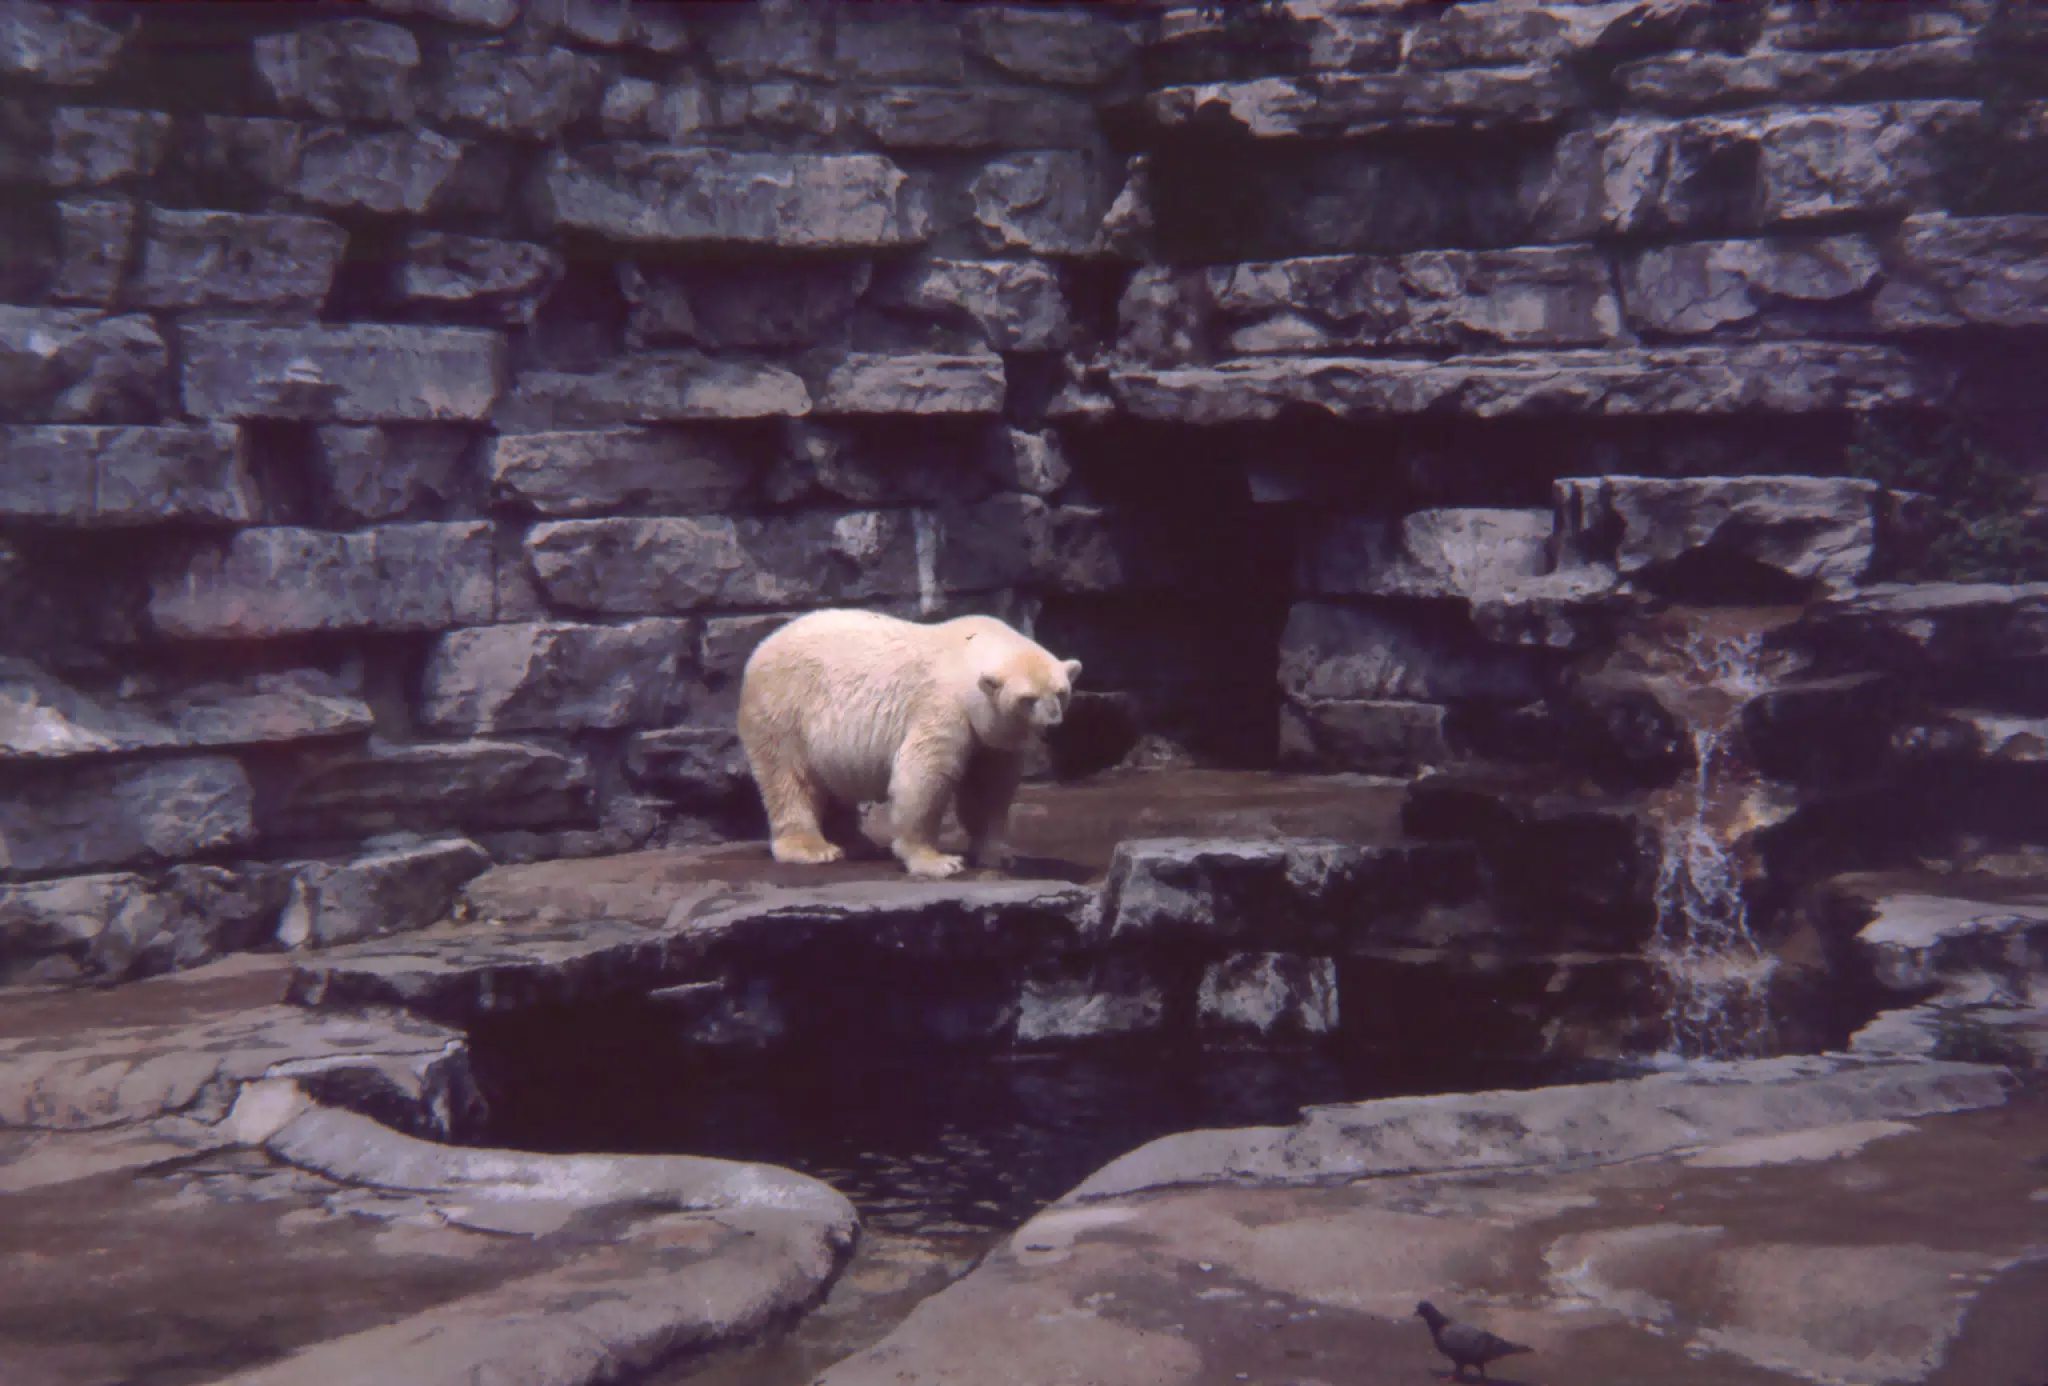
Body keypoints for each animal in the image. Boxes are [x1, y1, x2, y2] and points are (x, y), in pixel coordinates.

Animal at [736, 609, 1081, 879]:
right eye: (1027, 699)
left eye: (1061, 692)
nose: (1052, 725)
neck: (963, 655)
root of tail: (758, 651)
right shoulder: (942, 707)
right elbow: (924, 775)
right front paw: (939, 862)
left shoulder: (990, 734)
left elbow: (989, 785)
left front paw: (999, 854)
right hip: (784, 709)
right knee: (789, 778)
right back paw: (813, 848)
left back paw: (857, 843)